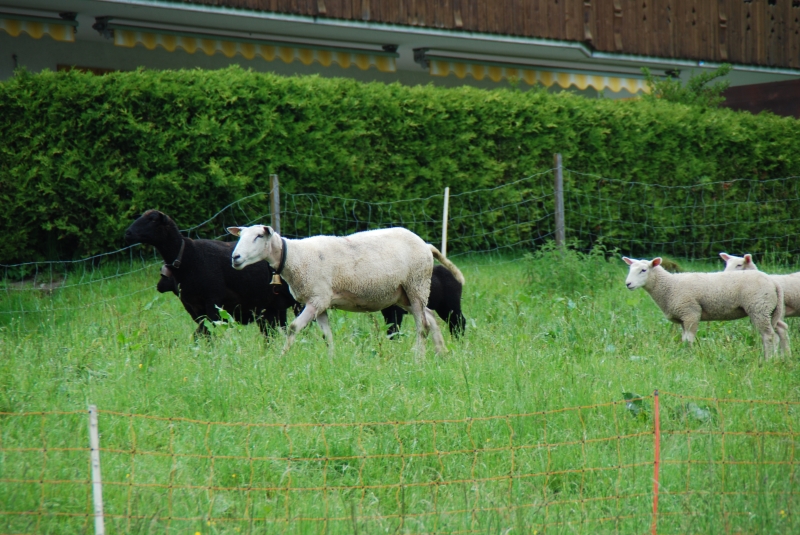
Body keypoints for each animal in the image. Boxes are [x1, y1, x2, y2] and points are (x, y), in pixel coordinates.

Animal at [123, 211, 298, 338]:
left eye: (152, 220)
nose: (128, 233)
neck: (187, 256)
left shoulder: (213, 302)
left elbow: (206, 334)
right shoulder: (197, 307)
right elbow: (202, 335)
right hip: (272, 307)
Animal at [228, 224, 466, 358]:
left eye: (259, 236)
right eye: (240, 237)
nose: (235, 258)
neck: (295, 256)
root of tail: (426, 245)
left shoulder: (316, 299)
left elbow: (294, 328)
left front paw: (282, 358)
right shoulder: (320, 302)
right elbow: (327, 336)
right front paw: (332, 361)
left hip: (416, 283)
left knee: (422, 325)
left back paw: (419, 358)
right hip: (405, 294)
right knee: (430, 318)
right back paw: (441, 354)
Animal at [620, 256, 788, 360]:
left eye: (643, 270)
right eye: (630, 269)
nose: (628, 284)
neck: (669, 286)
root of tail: (773, 282)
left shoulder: (691, 312)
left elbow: (689, 339)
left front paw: (688, 357)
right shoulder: (683, 317)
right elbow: (684, 338)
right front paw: (684, 354)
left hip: (759, 307)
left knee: (769, 336)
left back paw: (768, 360)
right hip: (770, 310)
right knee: (779, 330)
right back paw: (781, 357)